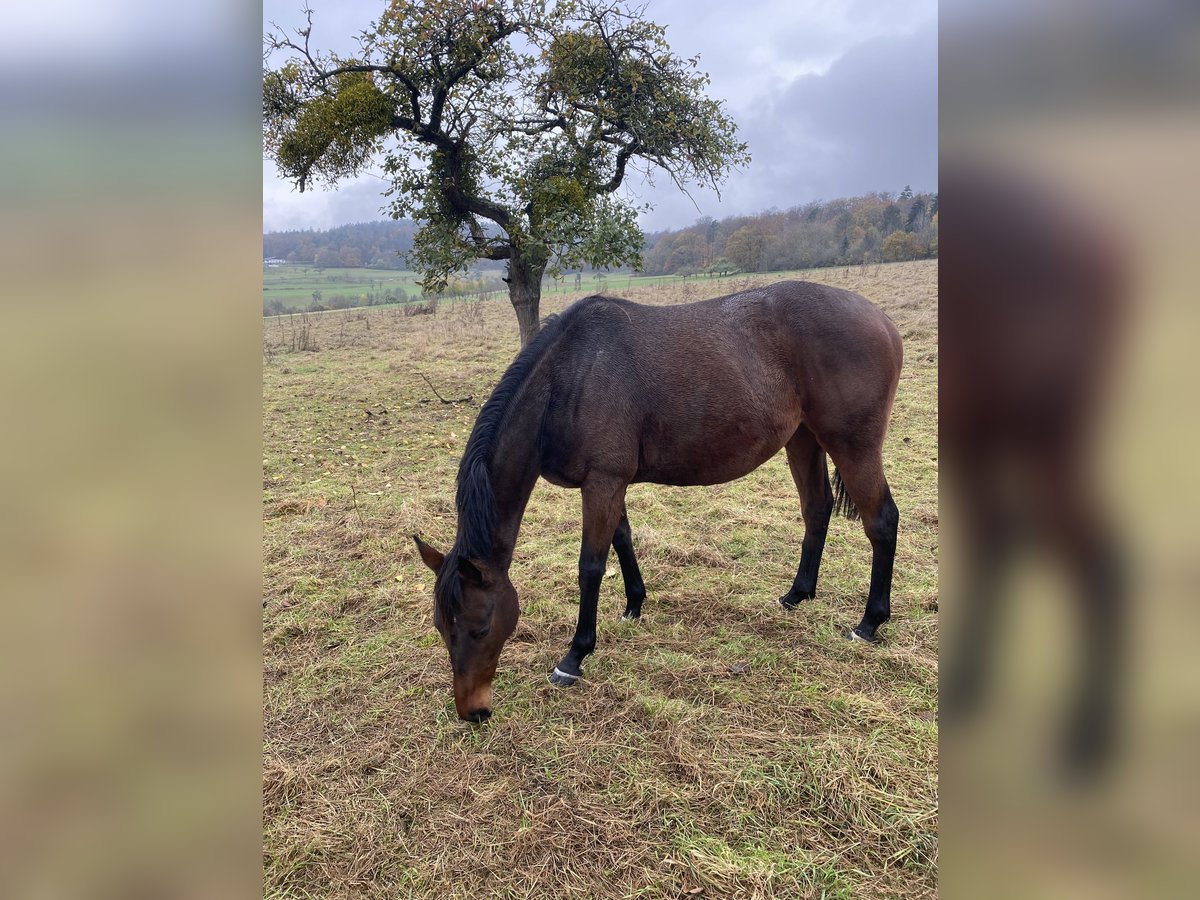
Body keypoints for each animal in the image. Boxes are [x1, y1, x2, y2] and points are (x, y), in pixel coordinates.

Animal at [412, 282, 902, 724]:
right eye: (440, 626)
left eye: (479, 627)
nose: (472, 712)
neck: (570, 376)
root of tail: (882, 320)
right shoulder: (609, 483)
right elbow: (622, 539)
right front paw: (634, 605)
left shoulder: (603, 482)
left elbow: (591, 566)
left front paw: (574, 657)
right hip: (802, 438)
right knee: (817, 508)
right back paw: (797, 594)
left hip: (852, 445)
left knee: (881, 521)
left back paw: (869, 623)